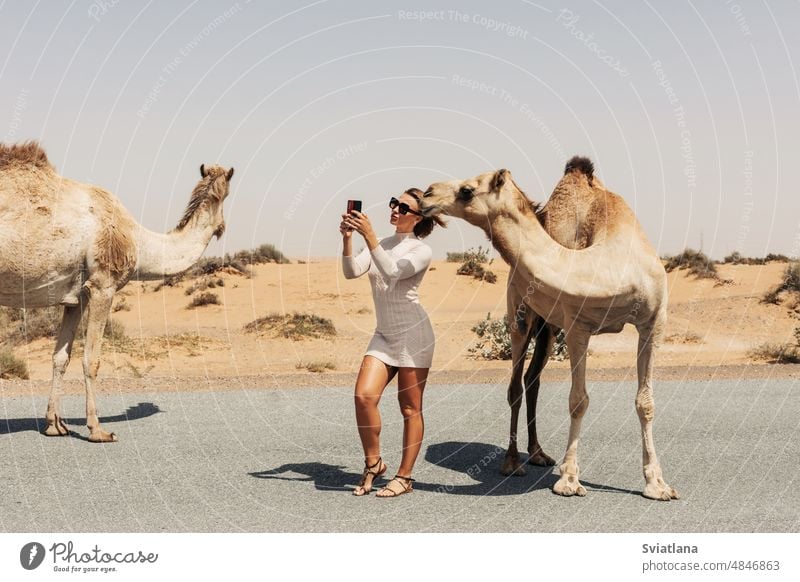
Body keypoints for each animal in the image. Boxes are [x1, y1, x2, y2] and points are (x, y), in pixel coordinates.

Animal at [1, 141, 234, 442]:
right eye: (224, 195)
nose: (221, 227)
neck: (137, 239)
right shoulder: (103, 285)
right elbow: (92, 360)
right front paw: (97, 429)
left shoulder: (74, 298)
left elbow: (60, 358)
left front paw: (55, 425)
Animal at [422, 160, 680, 502]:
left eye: (467, 190)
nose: (426, 193)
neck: (613, 266)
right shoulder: (577, 327)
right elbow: (578, 400)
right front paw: (569, 479)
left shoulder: (653, 322)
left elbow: (645, 402)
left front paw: (657, 484)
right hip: (520, 316)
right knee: (515, 386)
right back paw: (512, 462)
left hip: (549, 329)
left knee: (532, 380)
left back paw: (538, 453)